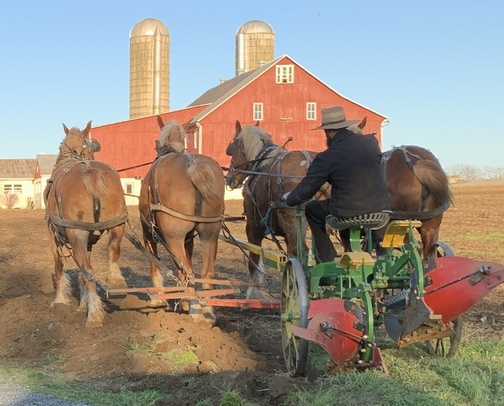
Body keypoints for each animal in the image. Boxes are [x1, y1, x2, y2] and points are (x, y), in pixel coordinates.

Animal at [44, 120, 128, 326]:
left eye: (60, 146)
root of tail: (91, 172)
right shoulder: (88, 241)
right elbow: (81, 274)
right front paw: (83, 303)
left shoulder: (52, 235)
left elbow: (59, 268)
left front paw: (60, 301)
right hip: (117, 225)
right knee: (111, 253)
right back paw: (115, 282)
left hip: (76, 234)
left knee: (89, 272)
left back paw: (95, 315)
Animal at [138, 117, 224, 310]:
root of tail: (193, 165)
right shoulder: (188, 239)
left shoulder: (148, 233)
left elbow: (154, 264)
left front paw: (158, 298)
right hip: (210, 233)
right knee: (206, 273)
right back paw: (205, 309)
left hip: (173, 237)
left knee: (185, 272)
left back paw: (189, 305)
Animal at [225, 120, 330, 294]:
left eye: (233, 149)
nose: (229, 179)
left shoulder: (253, 228)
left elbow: (254, 262)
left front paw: (254, 292)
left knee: (302, 255)